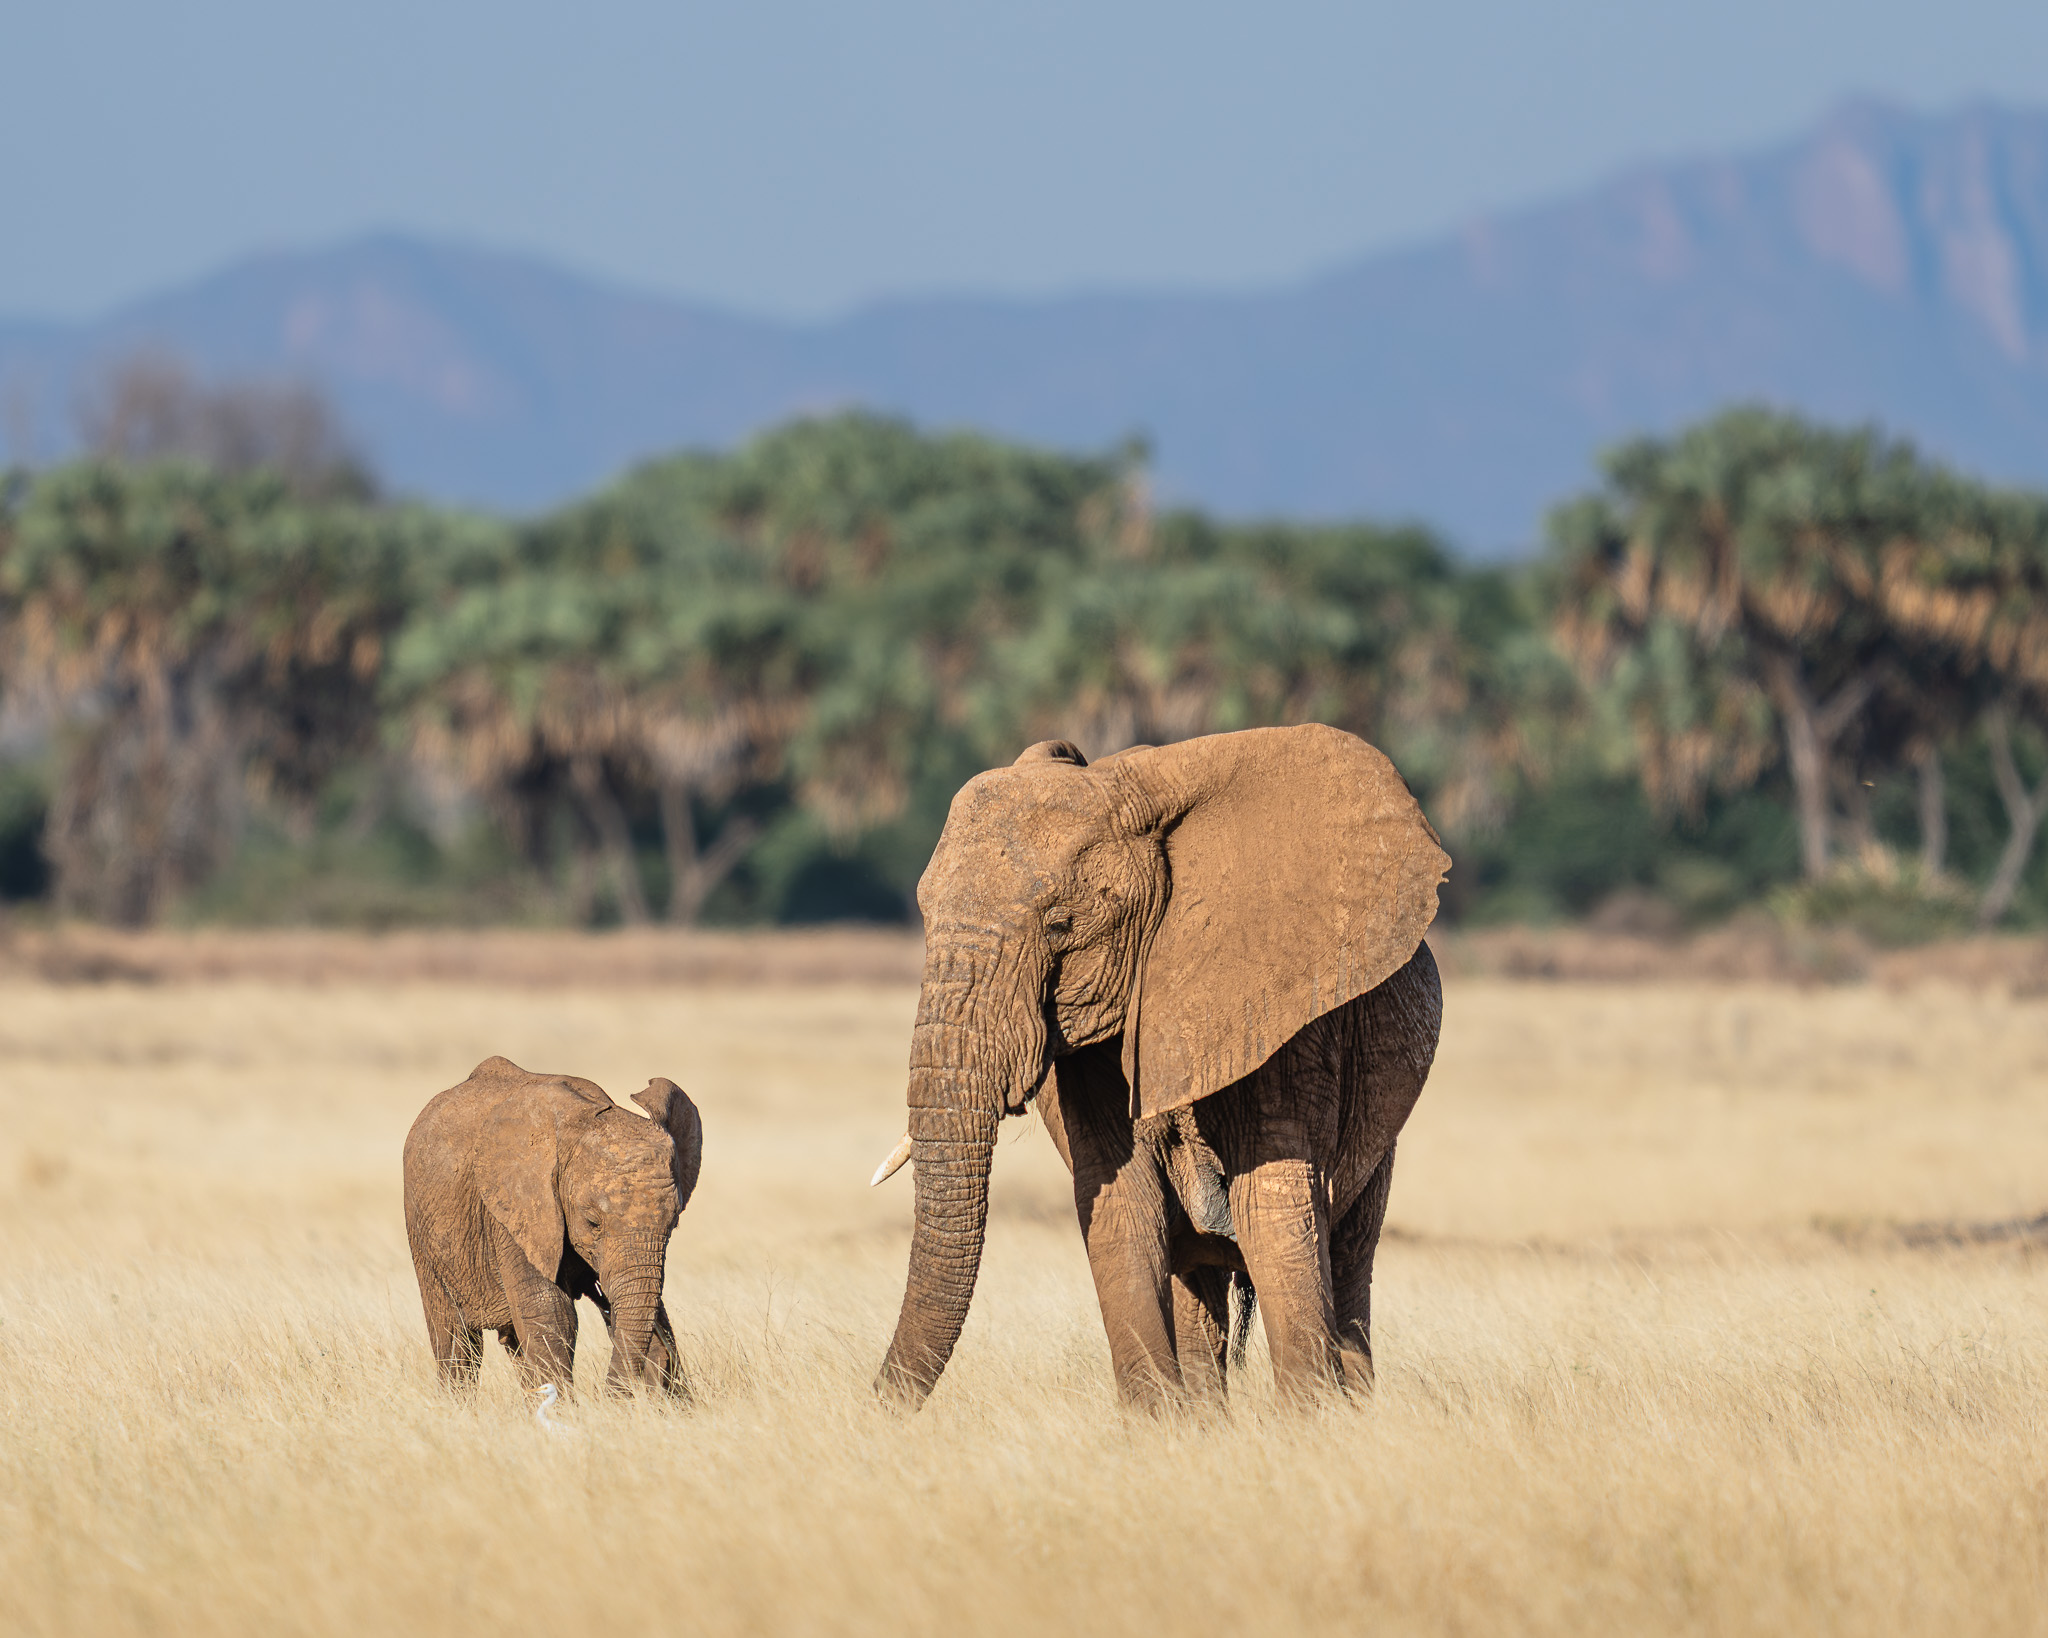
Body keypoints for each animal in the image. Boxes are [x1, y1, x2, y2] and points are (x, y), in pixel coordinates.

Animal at [403, 1055, 703, 1397]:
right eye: (592, 1223)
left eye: (673, 1223)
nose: (607, 1397)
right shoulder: (516, 1209)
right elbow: (552, 1313)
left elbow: (653, 1314)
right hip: (421, 1230)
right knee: (456, 1340)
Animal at [871, 723, 1448, 1410]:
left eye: (1062, 925)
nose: (870, 1406)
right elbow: (1122, 1204)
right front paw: (1162, 1424)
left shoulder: (1289, 1024)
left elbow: (1274, 1204)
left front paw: (1310, 1420)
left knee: (1348, 1252)